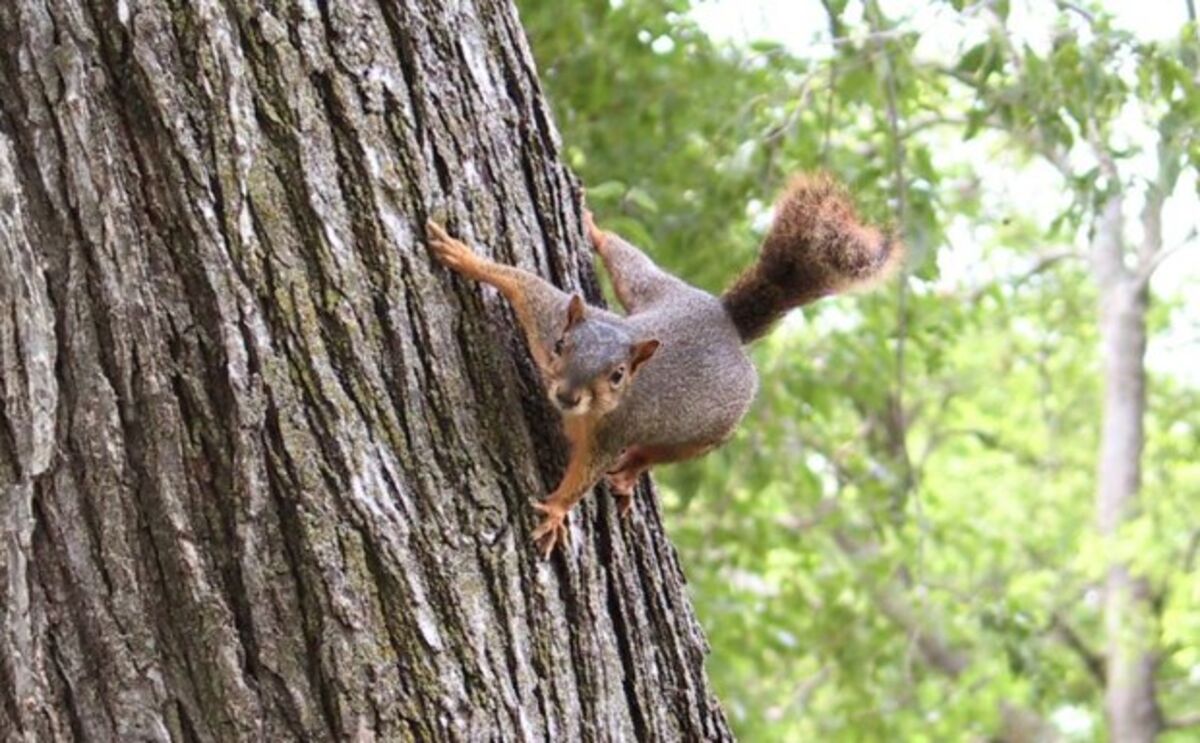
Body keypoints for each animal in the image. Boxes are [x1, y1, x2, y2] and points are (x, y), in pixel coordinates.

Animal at [424, 172, 902, 556]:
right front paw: (462, 255)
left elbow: (583, 476)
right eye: (561, 344)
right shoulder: (548, 315)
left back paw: (631, 471)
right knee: (628, 260)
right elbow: (520, 282)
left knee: (659, 453)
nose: (567, 395)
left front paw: (557, 510)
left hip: (711, 429)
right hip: (651, 287)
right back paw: (594, 229)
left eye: (617, 376)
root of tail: (727, 321)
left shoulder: (613, 433)